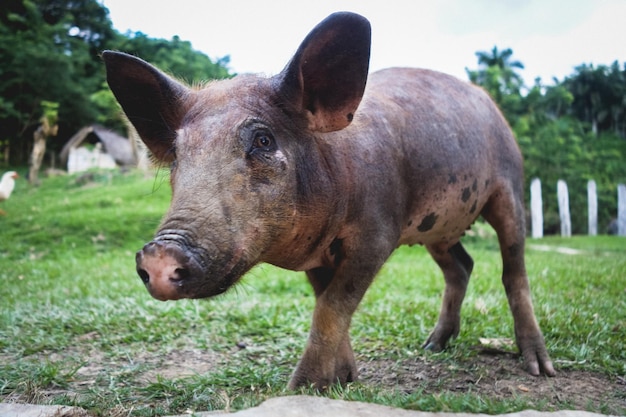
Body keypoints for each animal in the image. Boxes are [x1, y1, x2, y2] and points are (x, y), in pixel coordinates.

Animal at [102, 13, 556, 390]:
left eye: (263, 140)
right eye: (179, 154)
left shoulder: (378, 233)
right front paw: (344, 380)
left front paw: (301, 390)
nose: (160, 253)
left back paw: (539, 368)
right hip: (439, 228)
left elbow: (332, 308)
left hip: (509, 188)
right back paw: (431, 346)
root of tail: (492, 105)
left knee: (513, 270)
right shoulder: (320, 256)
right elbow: (326, 303)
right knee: (462, 265)